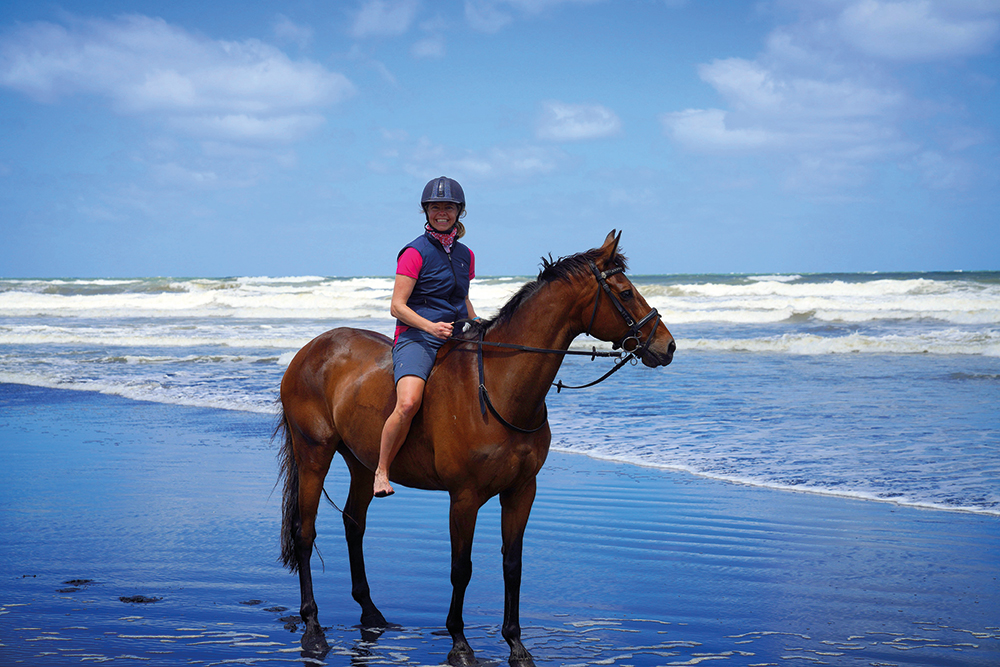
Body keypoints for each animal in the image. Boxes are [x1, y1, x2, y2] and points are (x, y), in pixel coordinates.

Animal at [278, 232, 676, 664]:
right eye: (626, 291)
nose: (668, 346)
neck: (500, 387)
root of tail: (310, 350)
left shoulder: (521, 491)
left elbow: (513, 564)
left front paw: (516, 644)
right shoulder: (464, 497)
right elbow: (461, 568)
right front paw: (460, 643)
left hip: (363, 464)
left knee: (354, 524)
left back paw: (371, 613)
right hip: (313, 454)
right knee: (305, 533)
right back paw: (313, 629)